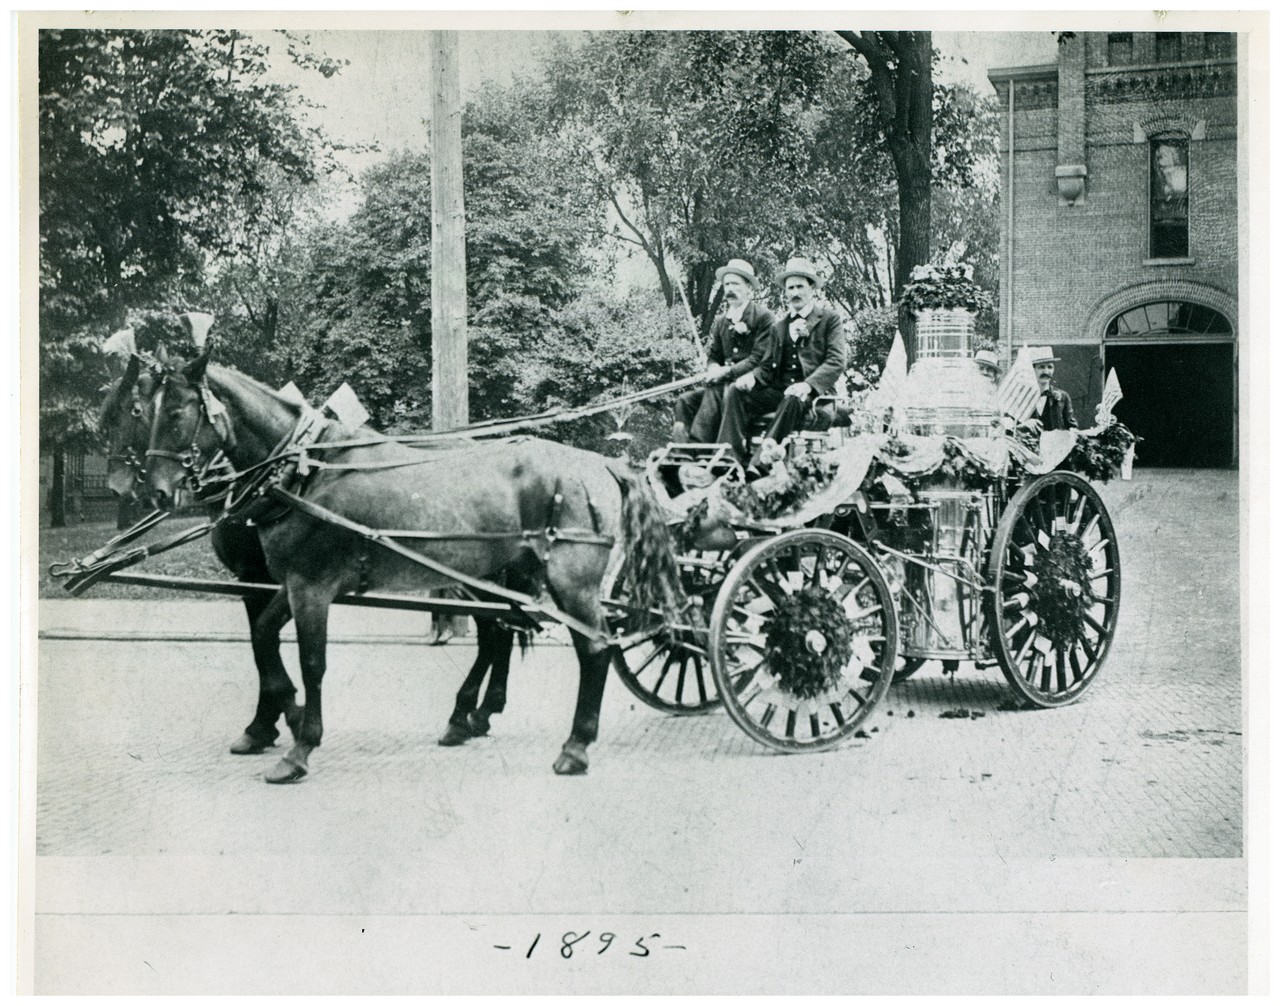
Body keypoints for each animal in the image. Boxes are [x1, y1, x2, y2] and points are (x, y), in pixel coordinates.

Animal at [140, 348, 686, 778]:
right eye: (148, 409)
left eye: (178, 412)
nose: (159, 491)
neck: (307, 470)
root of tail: (602, 463)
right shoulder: (289, 585)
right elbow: (263, 639)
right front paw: (283, 718)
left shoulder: (312, 587)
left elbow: (313, 662)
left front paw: (299, 748)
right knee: (505, 636)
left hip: (571, 582)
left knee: (594, 649)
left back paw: (573, 746)